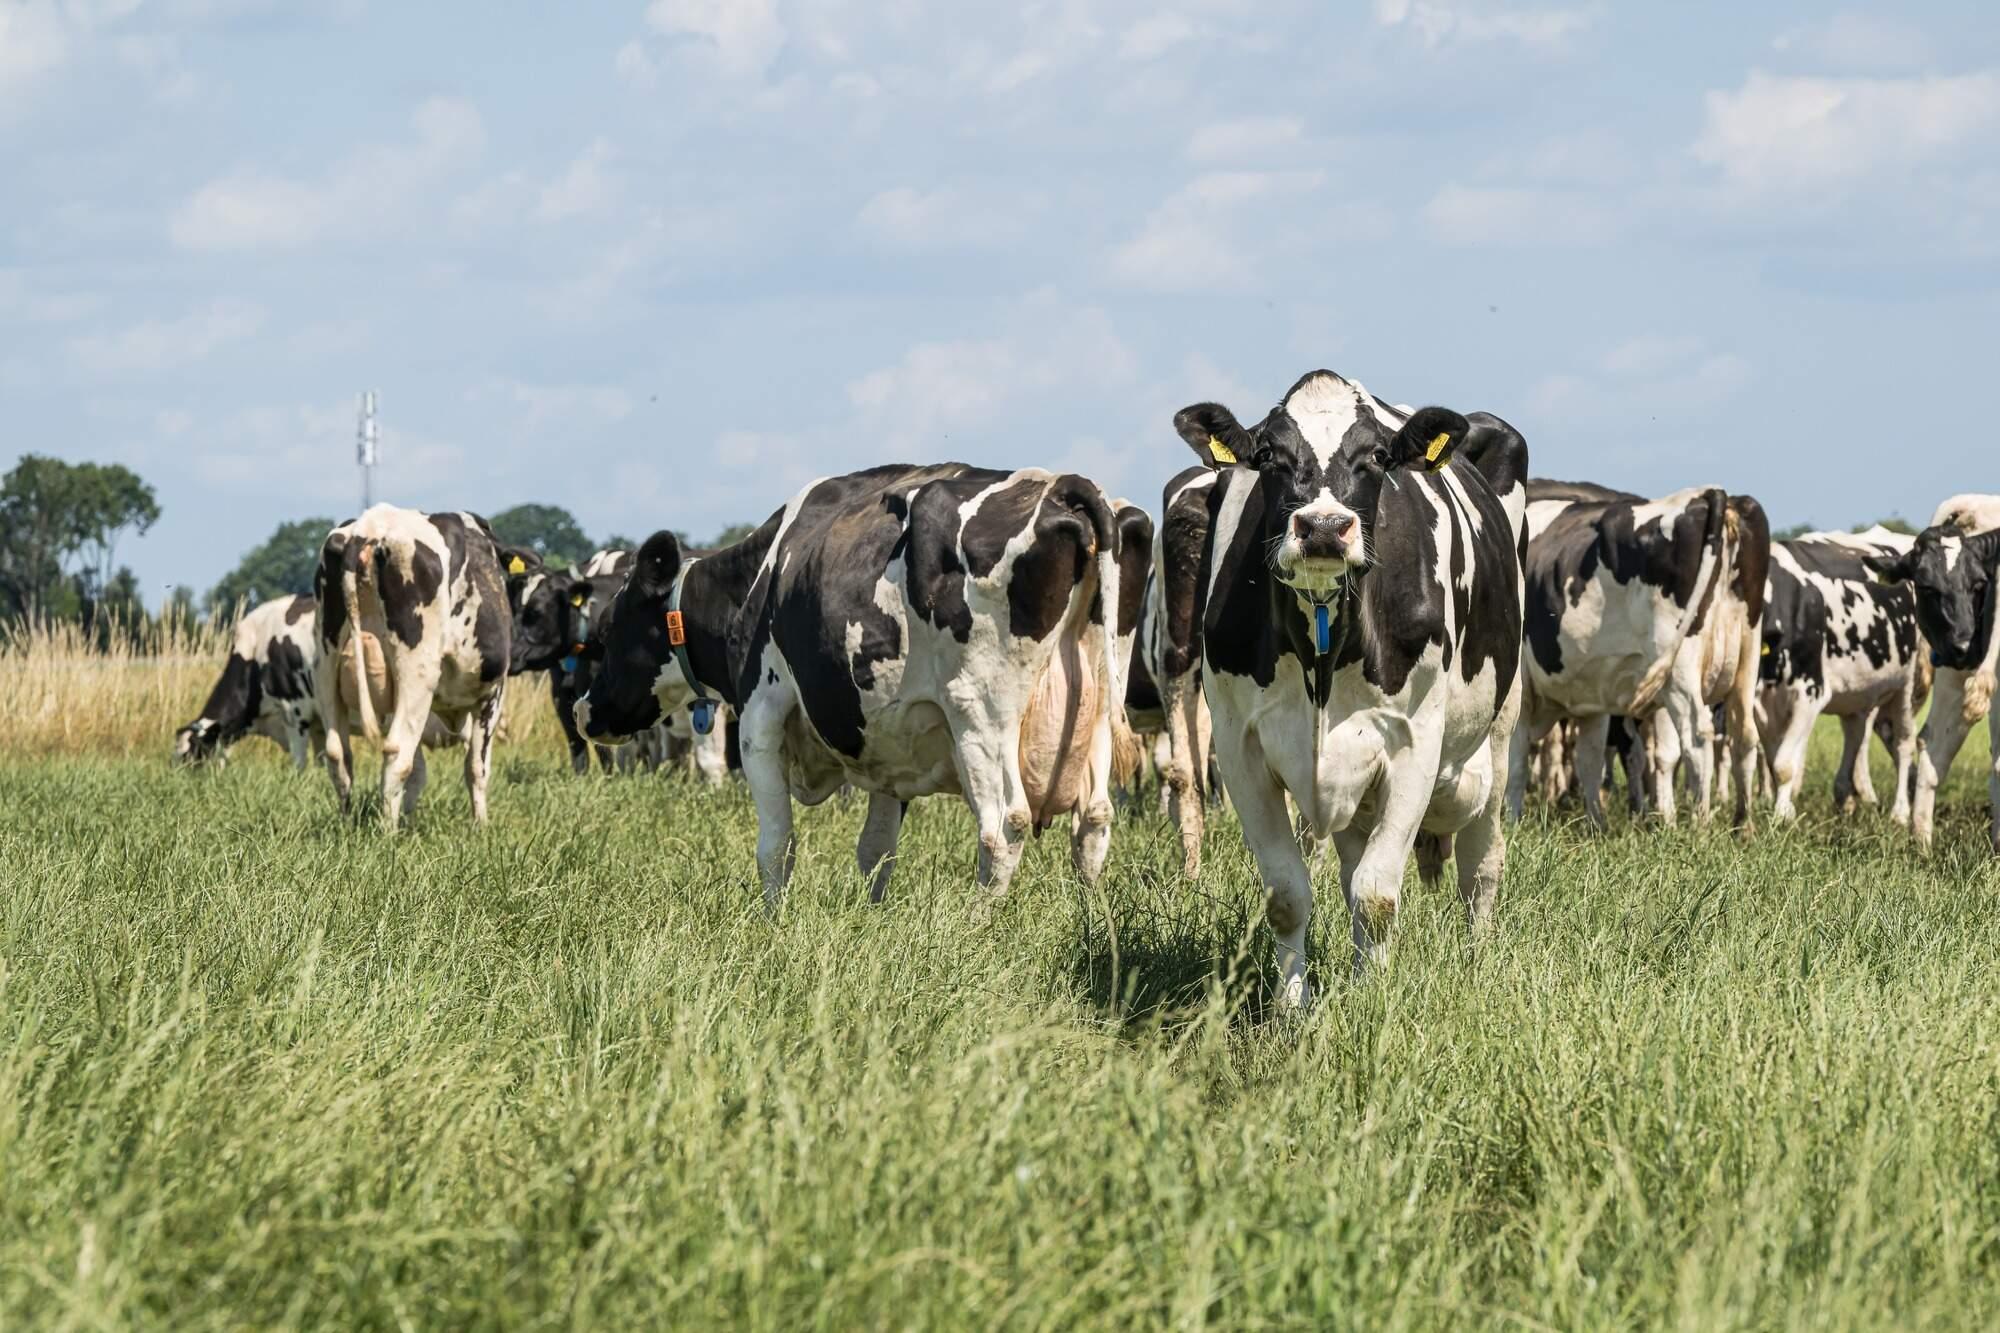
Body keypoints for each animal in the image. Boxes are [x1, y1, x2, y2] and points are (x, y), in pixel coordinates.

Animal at [312, 504, 512, 829]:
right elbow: (476, 768)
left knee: (338, 754)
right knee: (396, 754)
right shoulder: (492, 695)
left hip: (325, 666)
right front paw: (481, 826)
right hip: (417, 673)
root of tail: (367, 528)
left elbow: (420, 772)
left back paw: (348, 822)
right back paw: (387, 832)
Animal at [575, 464, 1129, 904]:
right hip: (1098, 707)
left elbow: (776, 843)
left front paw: (773, 920)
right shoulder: (890, 739)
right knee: (1095, 819)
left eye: (607, 631)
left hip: (981, 714)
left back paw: (978, 926)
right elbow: (876, 848)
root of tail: (1058, 483)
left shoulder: (760, 713)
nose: (584, 711)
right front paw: (872, 913)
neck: (757, 579)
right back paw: (1090, 917)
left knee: (1002, 826)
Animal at [1170, 370, 1529, 1005]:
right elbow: (1289, 895)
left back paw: (1477, 956)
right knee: (1353, 863)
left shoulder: (1413, 742)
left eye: (1378, 458)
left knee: (1481, 863)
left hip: (1499, 730)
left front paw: (1374, 1001)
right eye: (1270, 455)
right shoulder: (1239, 746)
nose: (1322, 528)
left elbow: (1378, 895)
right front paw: (1292, 1007)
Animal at [1509, 479, 1768, 828]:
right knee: (1744, 735)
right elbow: (1590, 760)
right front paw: (1597, 824)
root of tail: (1709, 493)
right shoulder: (1589, 696)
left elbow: (1515, 758)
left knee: (1697, 737)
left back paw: (1699, 823)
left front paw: (1510, 819)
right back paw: (1743, 824)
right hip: (1746, 660)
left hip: (1680, 671)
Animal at [1759, 527, 1929, 823]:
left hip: (1906, 687)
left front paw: (1781, 817)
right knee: (1855, 735)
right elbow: (1774, 759)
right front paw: (1787, 809)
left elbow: (1783, 764)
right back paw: (1845, 797)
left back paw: (1899, 813)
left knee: (1903, 743)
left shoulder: (1810, 693)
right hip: (1857, 690)